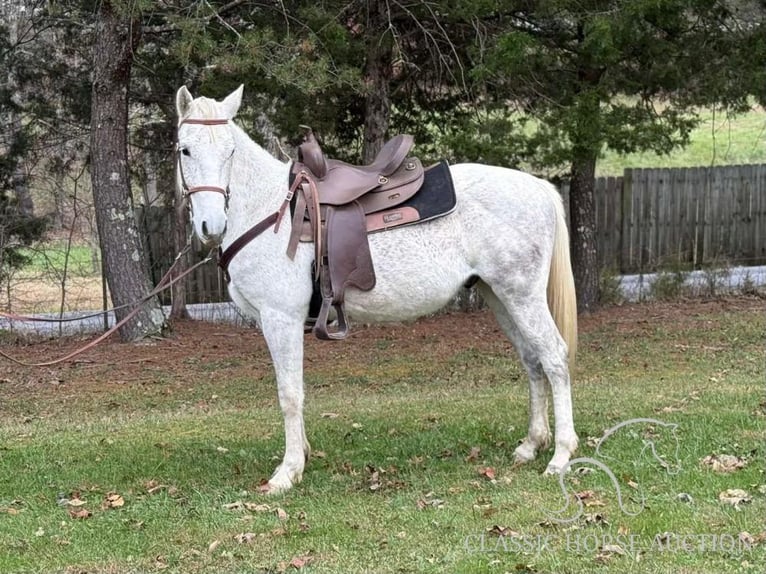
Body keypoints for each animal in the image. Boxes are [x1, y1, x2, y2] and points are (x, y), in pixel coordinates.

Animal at [176, 84, 584, 496]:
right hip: (499, 295)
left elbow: (289, 394)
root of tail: (537, 186)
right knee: (532, 360)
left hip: (522, 295)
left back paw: (560, 455)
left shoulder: (281, 319)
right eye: (185, 149)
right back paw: (531, 445)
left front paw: (287, 473)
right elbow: (296, 389)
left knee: (553, 356)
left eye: (230, 151)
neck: (270, 210)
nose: (212, 225)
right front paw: (302, 455)